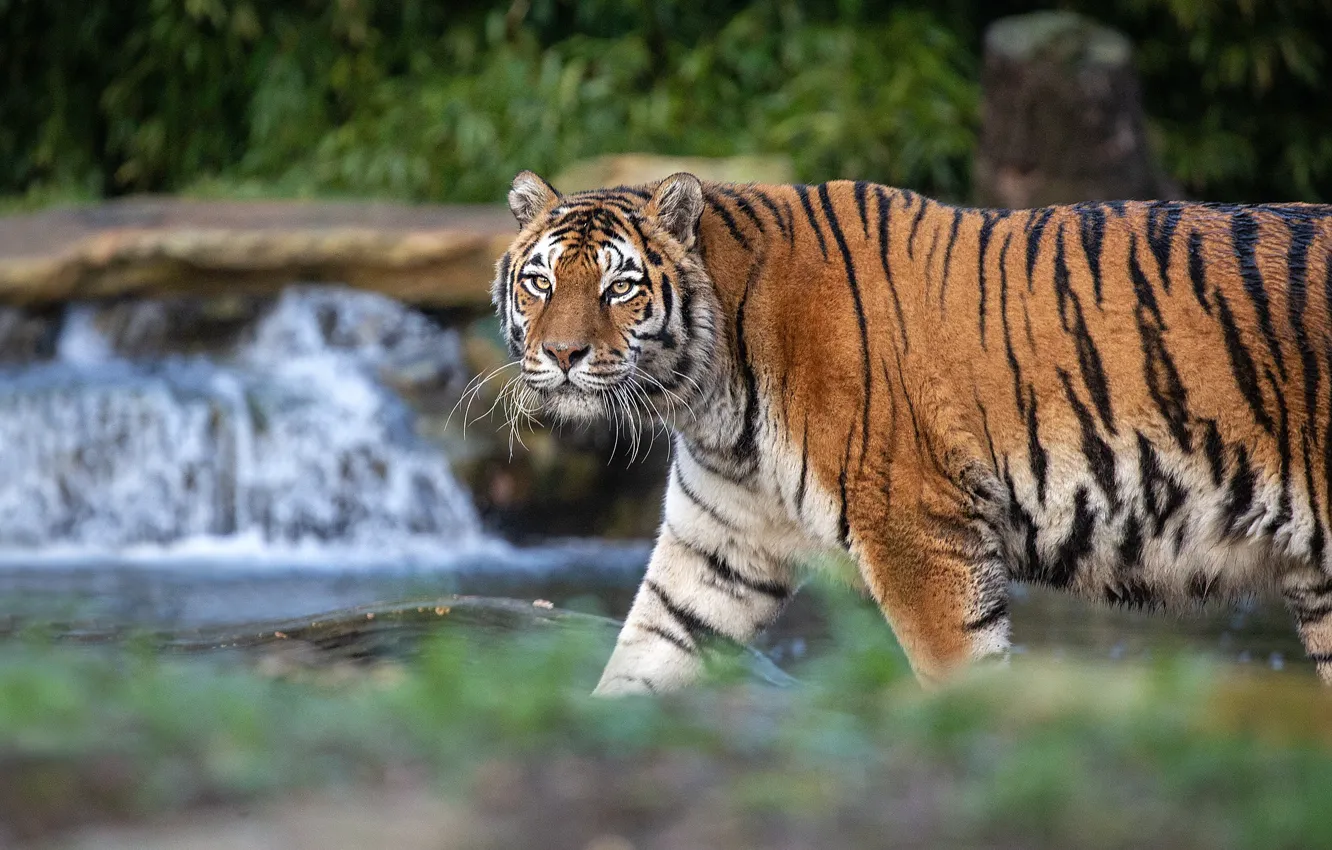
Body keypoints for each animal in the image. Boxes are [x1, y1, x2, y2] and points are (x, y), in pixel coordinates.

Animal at [493, 169, 1332, 693]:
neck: (709, 400)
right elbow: (643, 660)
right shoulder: (717, 551)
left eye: (619, 287)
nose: (562, 355)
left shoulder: (921, 536)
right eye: (540, 282)